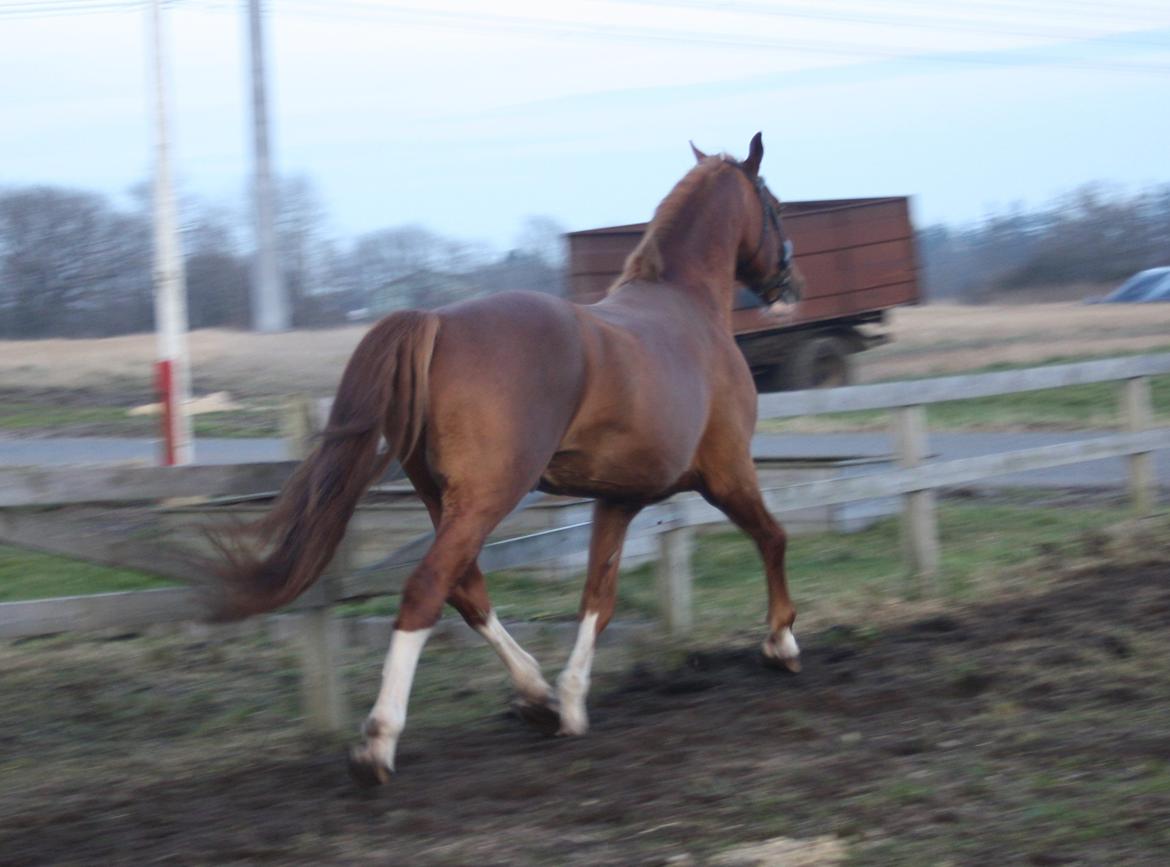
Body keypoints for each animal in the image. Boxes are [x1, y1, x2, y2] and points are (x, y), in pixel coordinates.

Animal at [215, 130, 804, 786]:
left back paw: (536, 696)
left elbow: (597, 600)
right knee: (427, 590)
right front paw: (781, 643)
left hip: (443, 499)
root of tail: (436, 321)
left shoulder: (619, 499)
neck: (688, 306)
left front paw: (571, 702)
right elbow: (773, 537)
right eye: (775, 206)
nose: (789, 283)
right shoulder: (727, 472)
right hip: (489, 496)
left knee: (467, 591)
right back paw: (379, 741)